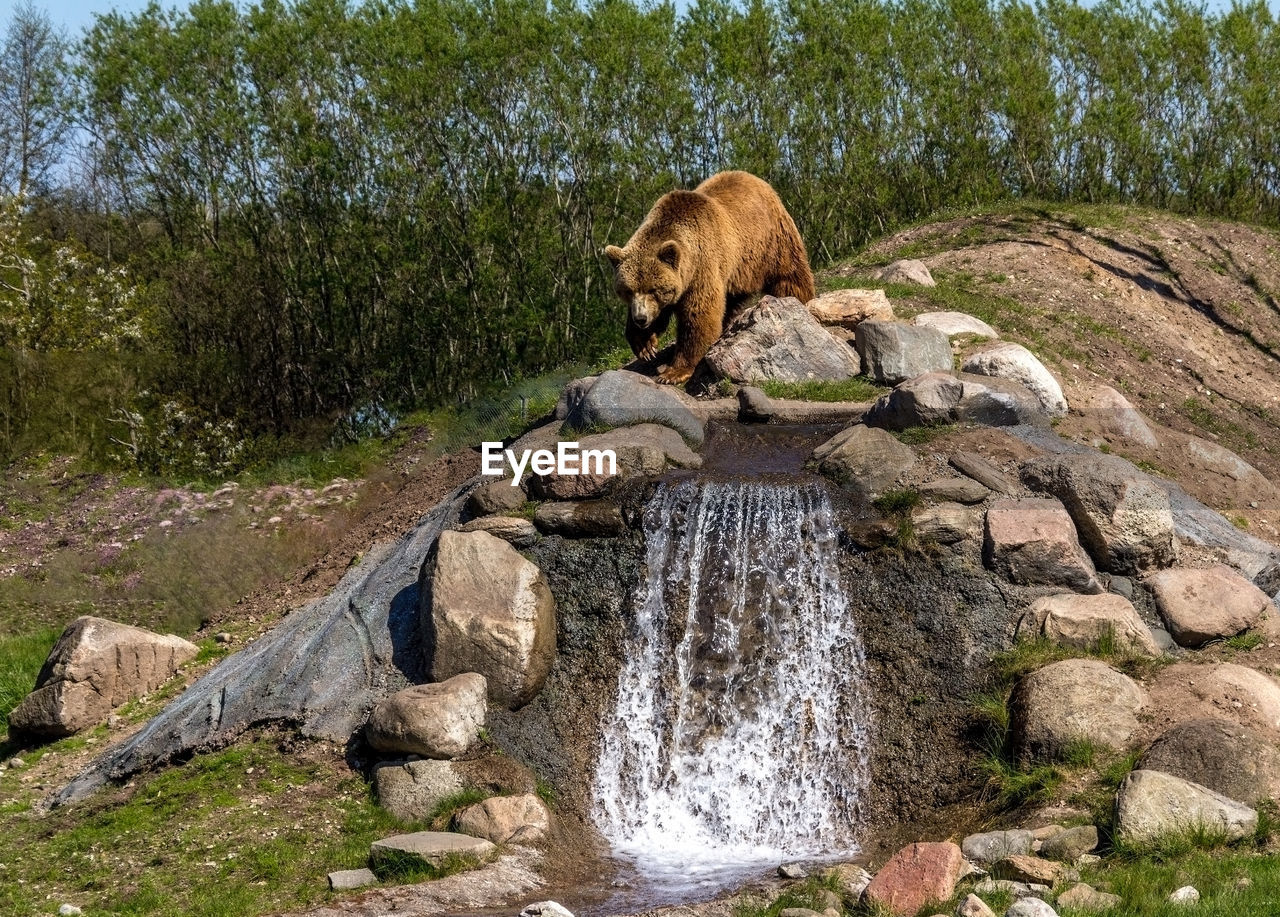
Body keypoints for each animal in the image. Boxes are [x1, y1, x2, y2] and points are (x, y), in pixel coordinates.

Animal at [604, 171, 814, 384]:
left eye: (653, 289)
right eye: (628, 291)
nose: (641, 318)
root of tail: (756, 179)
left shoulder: (701, 267)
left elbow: (699, 315)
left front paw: (673, 372)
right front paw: (645, 345)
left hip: (771, 242)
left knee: (789, 277)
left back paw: (799, 300)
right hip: (738, 269)